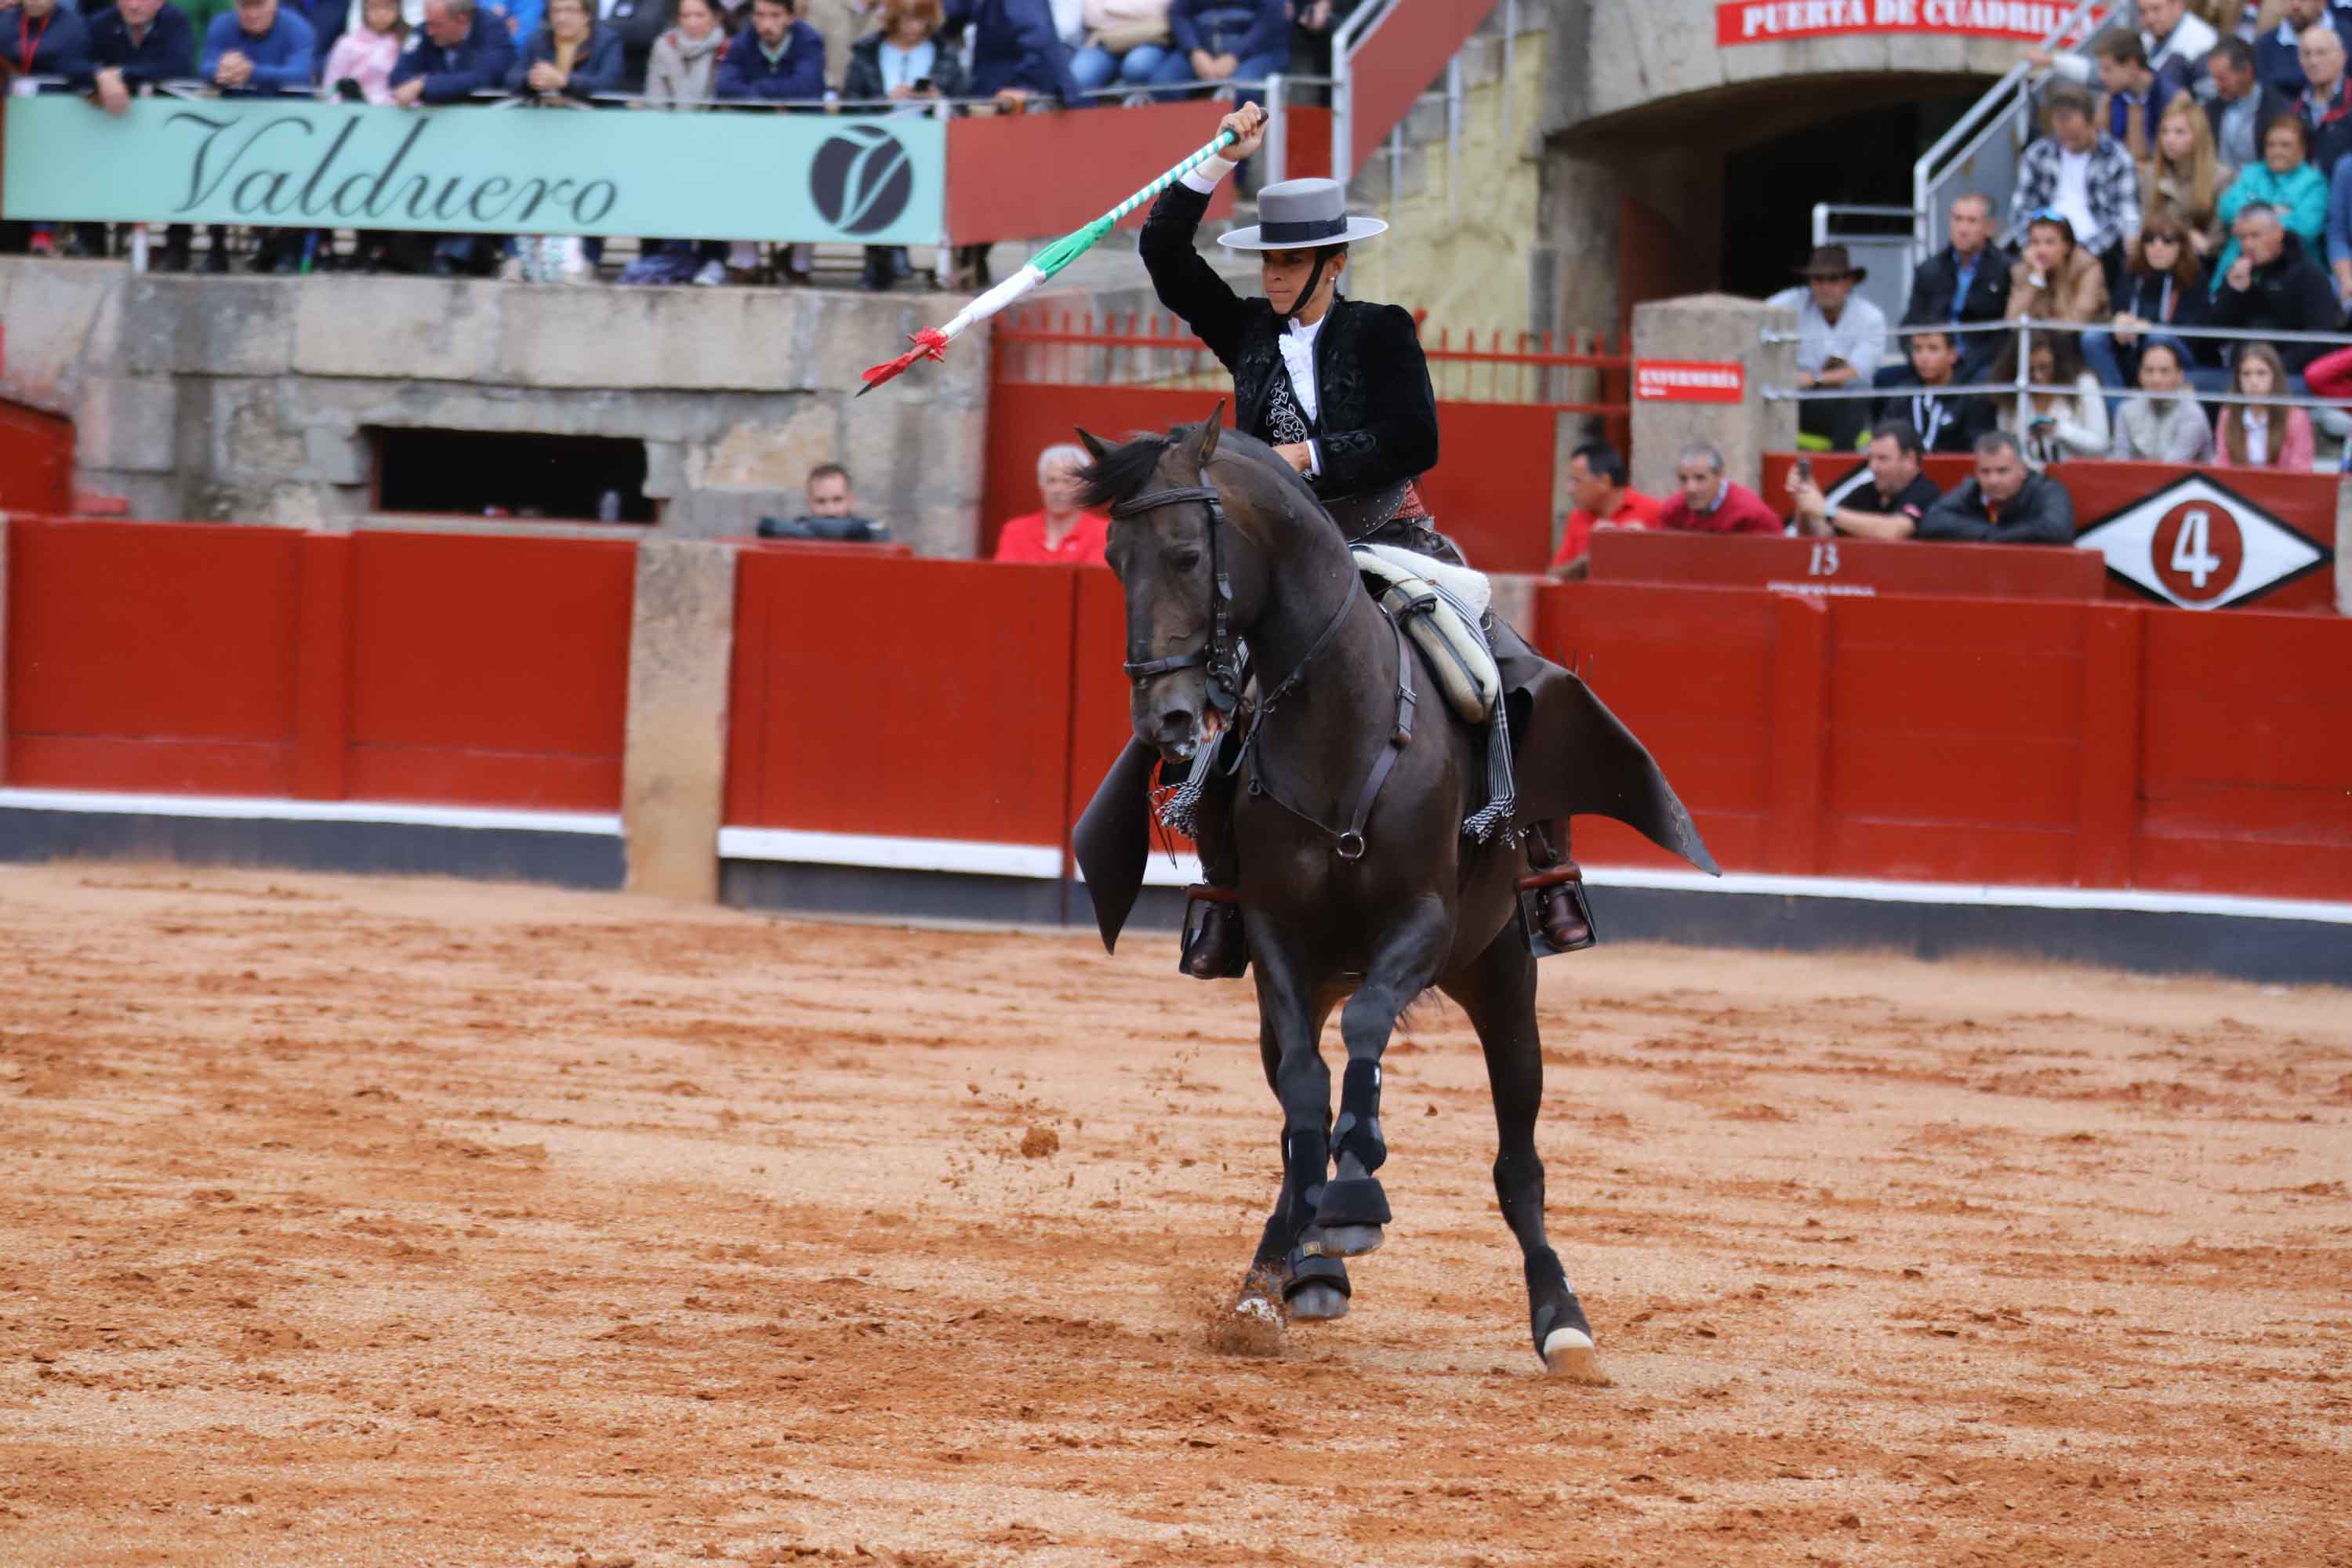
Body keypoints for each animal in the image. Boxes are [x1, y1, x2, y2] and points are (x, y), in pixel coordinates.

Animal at [1073, 411, 1712, 1363]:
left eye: (1187, 553)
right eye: (1115, 558)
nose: (1166, 718)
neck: (1340, 725)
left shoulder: (1424, 925)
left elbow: (1370, 1038)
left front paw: (1357, 1202)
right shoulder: (1279, 939)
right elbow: (1308, 1087)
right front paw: (1308, 1256)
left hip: (1502, 976)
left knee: (1518, 1155)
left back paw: (1559, 1317)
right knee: (1298, 1107)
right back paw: (1291, 1267)